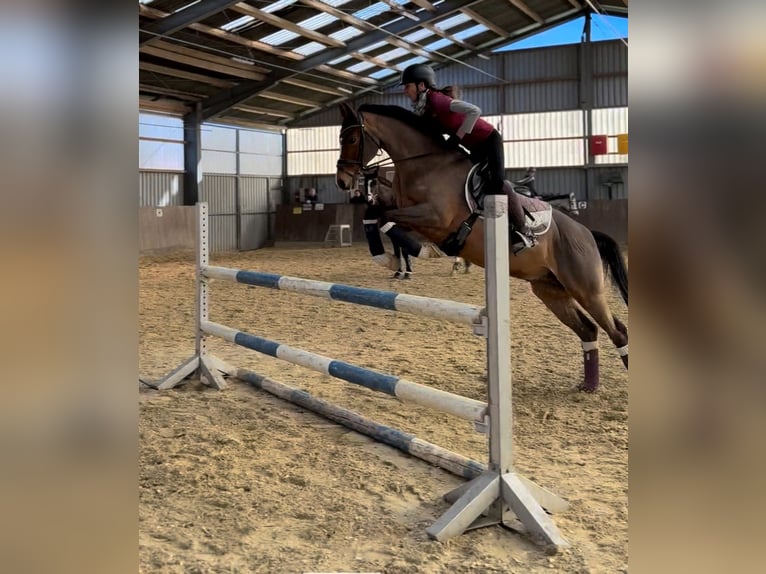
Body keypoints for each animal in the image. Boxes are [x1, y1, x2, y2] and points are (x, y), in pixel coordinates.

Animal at [335, 102, 628, 392]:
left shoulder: (434, 217)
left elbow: (388, 220)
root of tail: (587, 233)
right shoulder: (404, 211)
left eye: (352, 139)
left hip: (586, 289)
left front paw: (417, 256)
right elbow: (377, 215)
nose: (342, 181)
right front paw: (391, 260)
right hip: (551, 291)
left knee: (617, 331)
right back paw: (589, 385)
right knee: (589, 329)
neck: (423, 165)